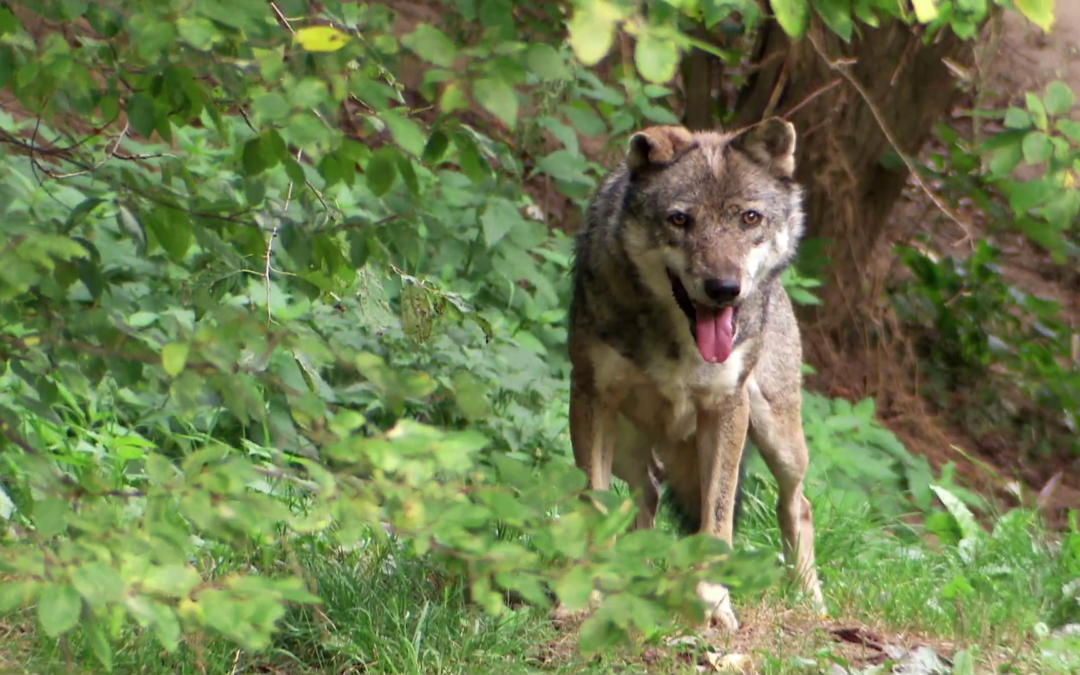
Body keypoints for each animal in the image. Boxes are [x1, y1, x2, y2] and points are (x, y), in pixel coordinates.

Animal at [561, 117, 820, 630]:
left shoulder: (726, 410)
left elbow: (716, 525)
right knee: (646, 493)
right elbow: (595, 508)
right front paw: (583, 599)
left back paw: (810, 600)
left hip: (778, 436)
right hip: (627, 442)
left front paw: (712, 605)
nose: (724, 289)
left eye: (750, 219)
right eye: (680, 220)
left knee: (797, 504)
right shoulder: (590, 399)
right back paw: (632, 576)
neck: (677, 339)